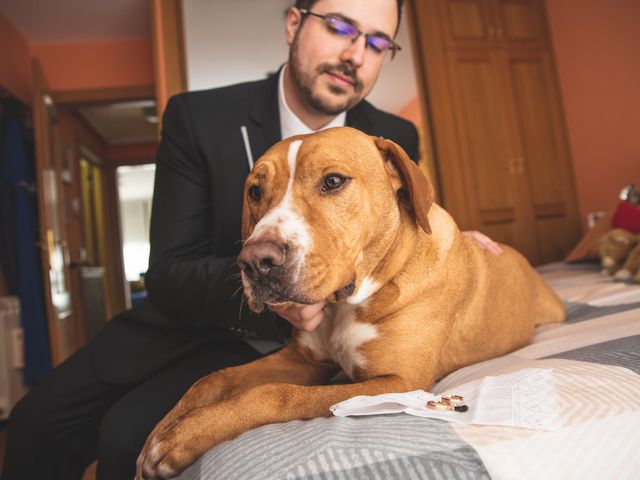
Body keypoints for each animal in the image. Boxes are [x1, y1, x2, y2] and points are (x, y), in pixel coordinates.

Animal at [136, 125, 564, 478]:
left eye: (333, 181)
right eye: (255, 192)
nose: (256, 262)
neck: (349, 302)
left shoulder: (396, 382)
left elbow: (274, 393)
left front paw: (187, 435)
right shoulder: (302, 360)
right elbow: (216, 377)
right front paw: (165, 427)